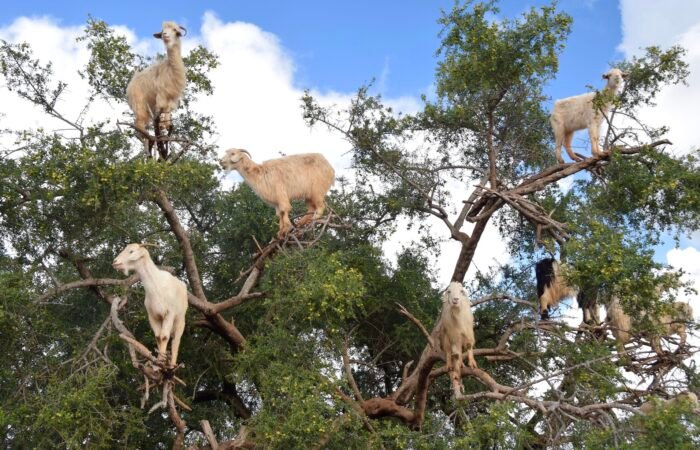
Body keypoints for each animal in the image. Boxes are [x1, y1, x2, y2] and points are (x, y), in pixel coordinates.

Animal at [126, 21, 187, 159]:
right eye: (163, 29)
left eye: (175, 30)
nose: (165, 35)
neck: (170, 68)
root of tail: (130, 85)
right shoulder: (161, 96)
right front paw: (162, 129)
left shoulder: (171, 99)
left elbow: (168, 116)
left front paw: (166, 130)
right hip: (140, 105)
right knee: (138, 126)